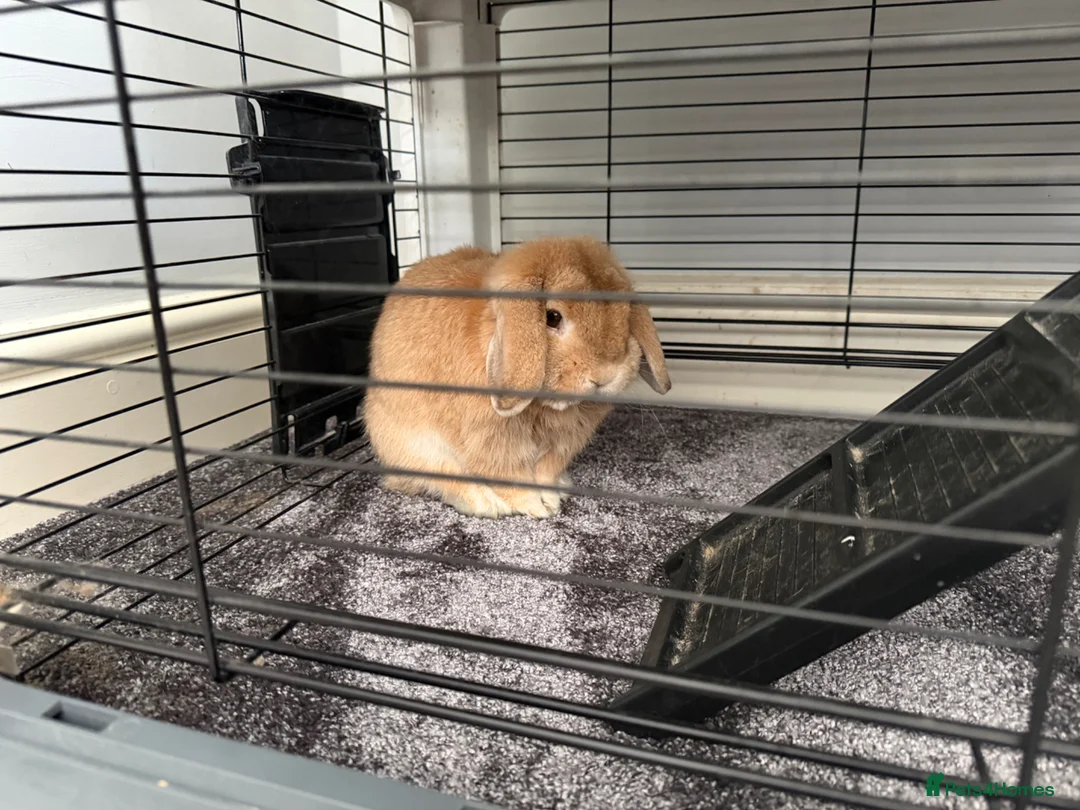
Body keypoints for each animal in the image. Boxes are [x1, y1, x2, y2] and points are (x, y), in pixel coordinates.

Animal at [362, 236, 670, 519]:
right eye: (552, 317)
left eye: (625, 314)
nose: (605, 375)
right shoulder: (493, 442)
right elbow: (511, 477)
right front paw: (536, 507)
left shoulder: (562, 443)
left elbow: (546, 472)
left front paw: (550, 498)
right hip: (417, 446)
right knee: (440, 478)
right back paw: (483, 502)